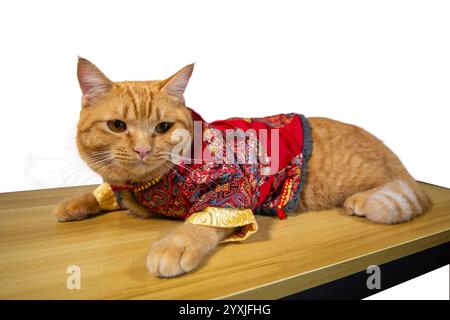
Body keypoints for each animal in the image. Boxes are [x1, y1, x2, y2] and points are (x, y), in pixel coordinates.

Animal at [53, 57, 432, 278]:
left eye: (163, 127)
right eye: (117, 126)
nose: (144, 149)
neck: (145, 186)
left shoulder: (230, 190)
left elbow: (199, 223)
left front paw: (174, 246)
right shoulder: (121, 187)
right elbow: (104, 192)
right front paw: (74, 204)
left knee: (405, 192)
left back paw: (362, 202)